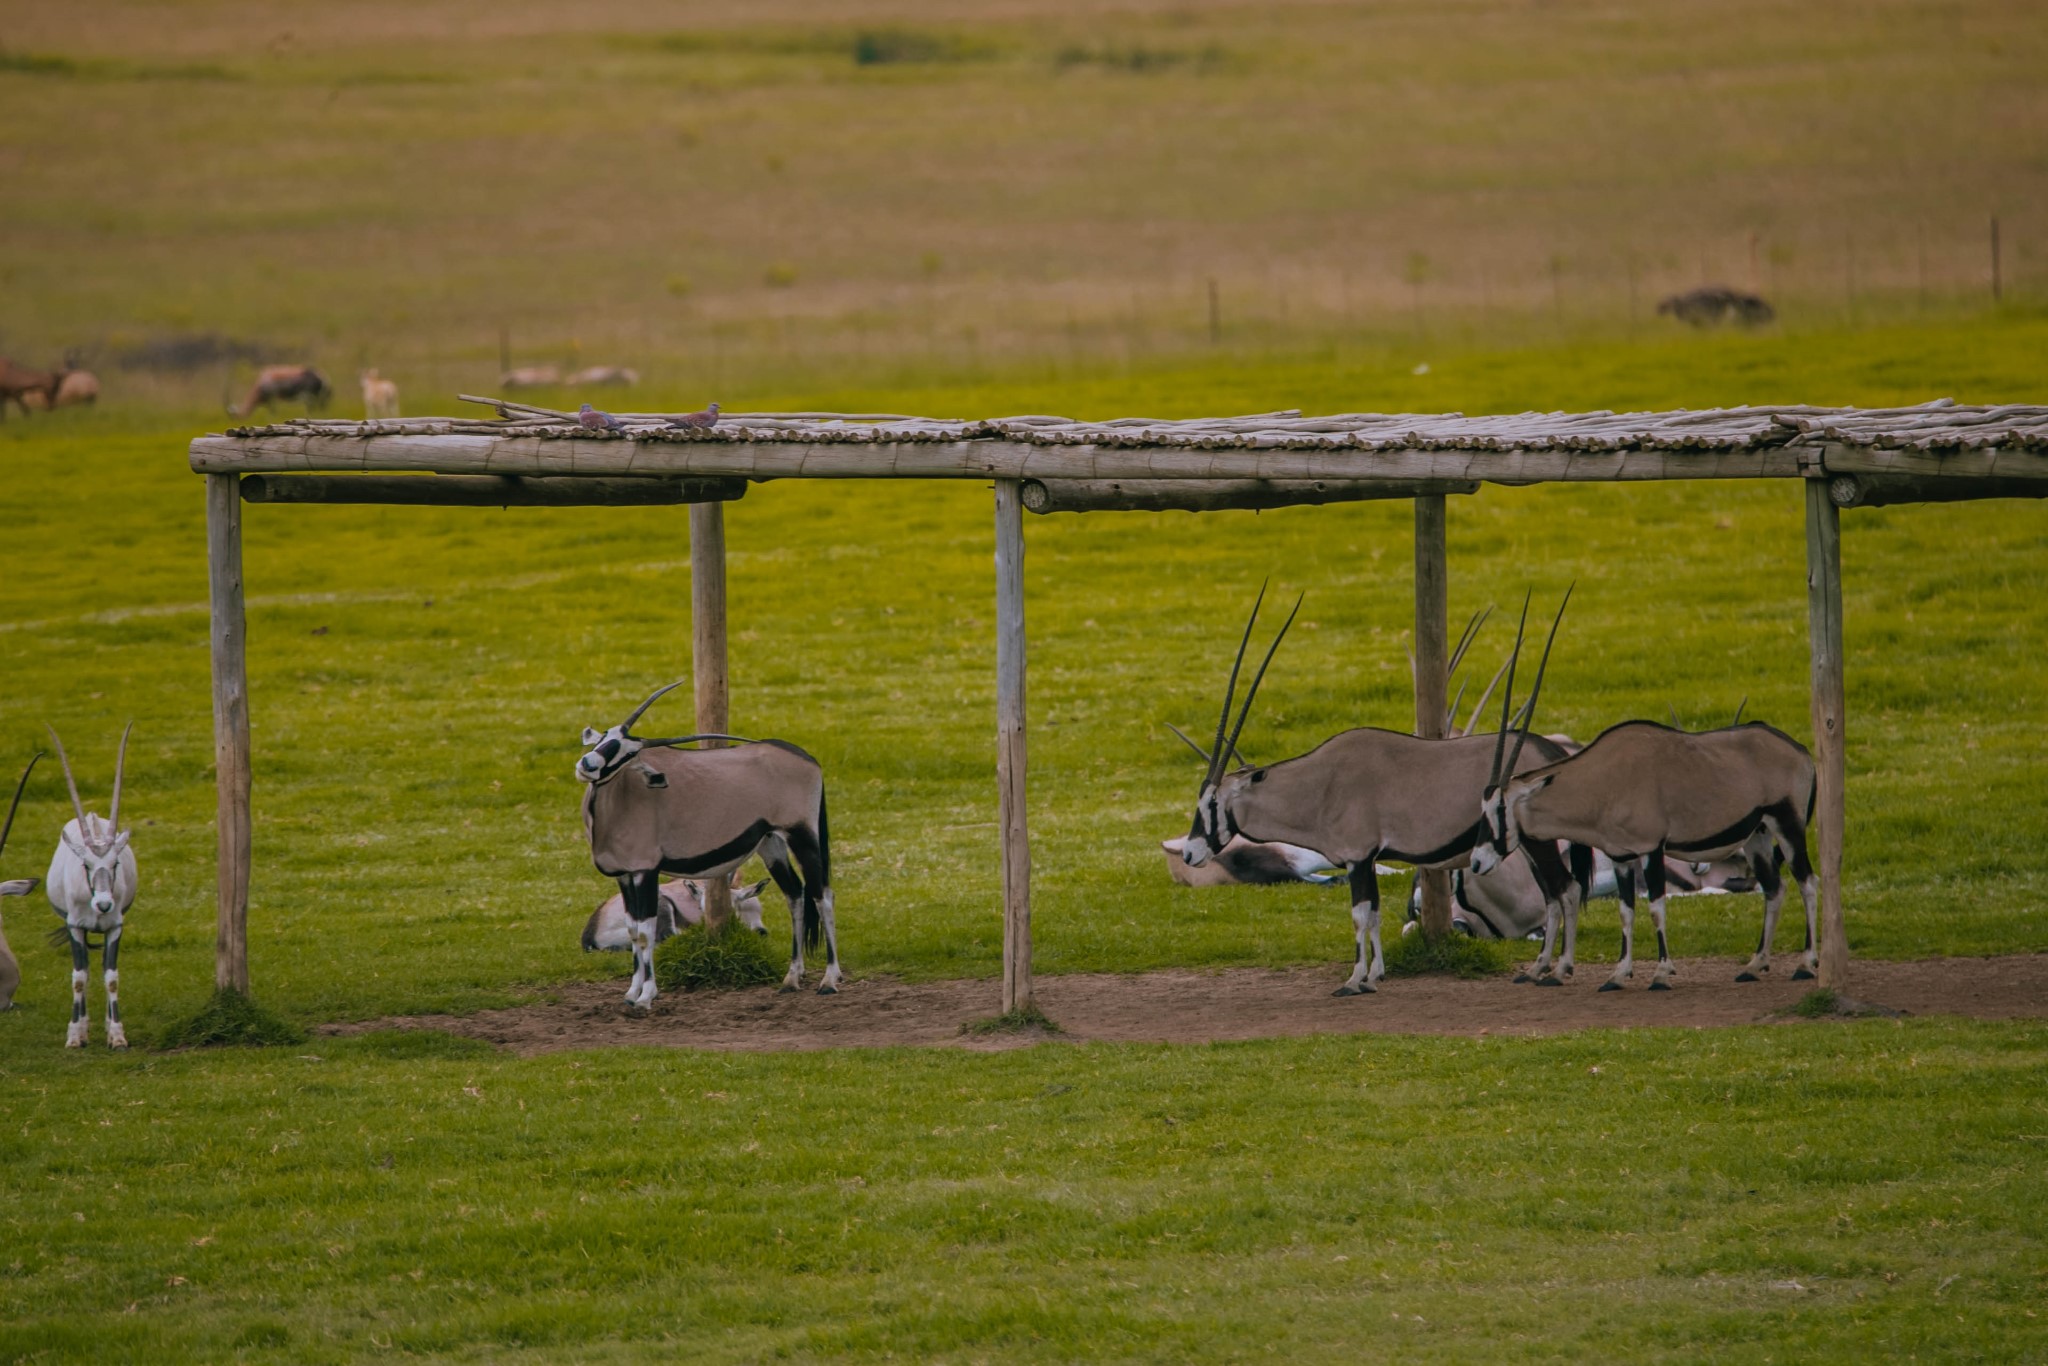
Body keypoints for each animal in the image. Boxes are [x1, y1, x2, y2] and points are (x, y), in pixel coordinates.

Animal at [42, 724, 137, 1048]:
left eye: (115, 863)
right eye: (86, 865)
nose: (104, 904)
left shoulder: (115, 926)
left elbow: (112, 977)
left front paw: (117, 1035)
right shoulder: (74, 926)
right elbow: (79, 978)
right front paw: (74, 1036)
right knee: (83, 972)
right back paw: (82, 1028)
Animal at [577, 679, 839, 1003]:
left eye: (629, 754)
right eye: (605, 737)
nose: (587, 764)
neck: (622, 796)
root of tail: (808, 759)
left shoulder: (645, 872)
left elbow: (646, 932)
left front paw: (647, 996)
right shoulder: (625, 876)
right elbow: (633, 930)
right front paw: (631, 992)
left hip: (802, 836)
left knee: (822, 895)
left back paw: (830, 979)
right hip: (771, 843)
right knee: (795, 895)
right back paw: (792, 977)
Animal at [1179, 589, 1589, 995]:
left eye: (1212, 801)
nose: (1188, 853)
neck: (1320, 785)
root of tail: (1551, 752)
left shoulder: (1358, 858)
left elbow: (1360, 915)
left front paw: (1354, 980)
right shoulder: (1367, 858)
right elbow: (1374, 915)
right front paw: (1375, 976)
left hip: (1537, 841)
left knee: (1565, 890)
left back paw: (1558, 969)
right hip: (1527, 844)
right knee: (1552, 895)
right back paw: (1537, 969)